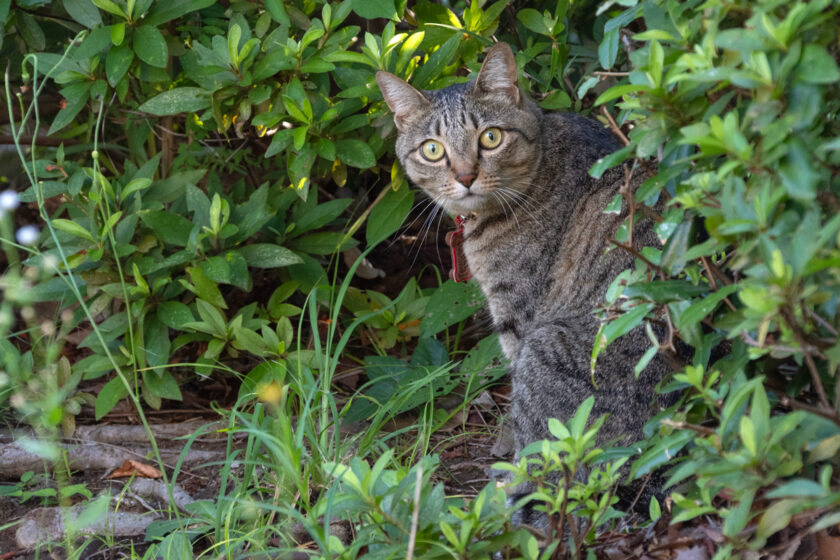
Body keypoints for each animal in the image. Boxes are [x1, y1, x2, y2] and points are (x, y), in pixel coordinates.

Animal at [378, 42, 672, 512]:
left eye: (490, 138)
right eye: (432, 150)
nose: (465, 176)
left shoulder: (518, 318)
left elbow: (527, 434)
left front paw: (508, 465)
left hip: (546, 348)